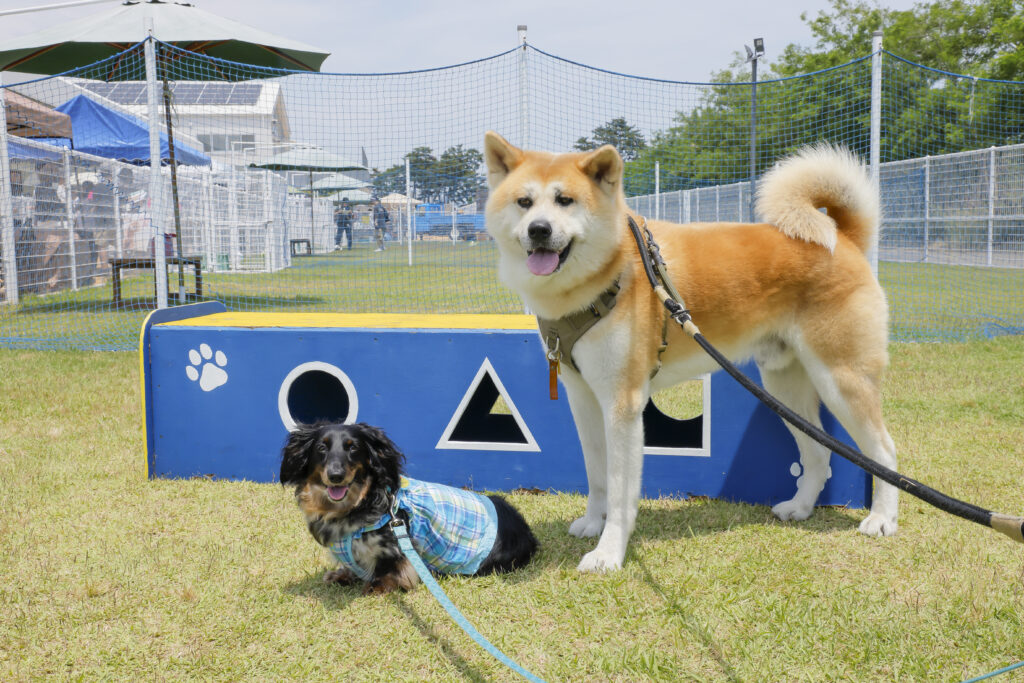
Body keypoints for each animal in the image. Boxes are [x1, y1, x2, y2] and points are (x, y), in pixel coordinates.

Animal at [280, 421, 539, 594]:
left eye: (352, 448)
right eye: (321, 448)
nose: (336, 476)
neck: (358, 504)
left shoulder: (396, 545)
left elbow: (389, 570)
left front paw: (375, 586)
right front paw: (341, 575)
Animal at [483, 131, 898, 572]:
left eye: (565, 200)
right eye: (524, 202)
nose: (539, 230)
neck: (608, 274)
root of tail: (845, 239)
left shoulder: (623, 404)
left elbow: (620, 489)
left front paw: (609, 553)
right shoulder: (584, 399)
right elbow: (596, 475)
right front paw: (594, 523)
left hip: (840, 379)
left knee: (884, 451)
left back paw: (882, 519)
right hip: (784, 389)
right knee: (818, 454)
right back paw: (800, 508)